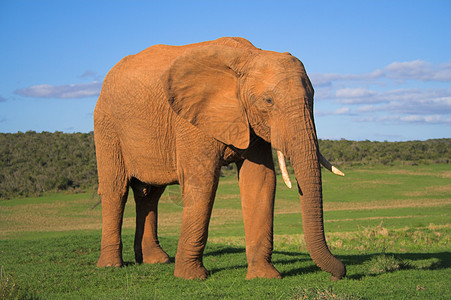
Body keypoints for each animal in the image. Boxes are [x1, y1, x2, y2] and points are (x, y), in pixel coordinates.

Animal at [94, 36, 346, 280]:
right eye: (268, 101)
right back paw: (111, 265)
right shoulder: (190, 120)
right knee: (116, 189)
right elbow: (202, 182)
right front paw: (191, 277)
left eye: (313, 98)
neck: (249, 55)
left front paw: (264, 277)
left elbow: (260, 179)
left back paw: (156, 260)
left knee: (150, 194)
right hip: (107, 125)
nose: (338, 274)